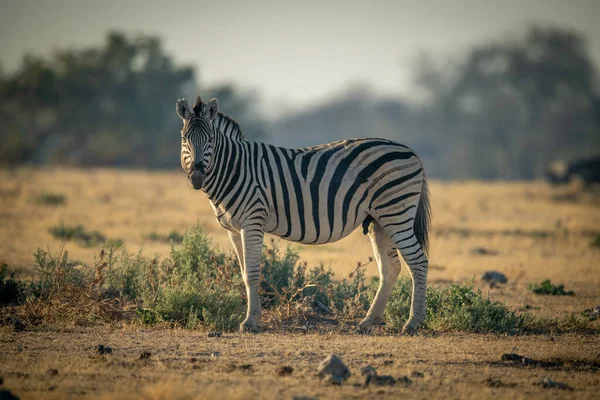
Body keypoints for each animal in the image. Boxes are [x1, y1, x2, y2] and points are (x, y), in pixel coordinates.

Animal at [175, 95, 432, 332]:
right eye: (184, 139)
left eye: (210, 139)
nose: (196, 177)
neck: (235, 168)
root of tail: (411, 151)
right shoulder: (234, 229)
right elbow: (244, 273)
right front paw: (251, 317)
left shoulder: (253, 221)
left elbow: (253, 273)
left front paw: (250, 321)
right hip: (379, 220)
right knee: (390, 268)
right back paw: (368, 321)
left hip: (396, 213)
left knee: (418, 262)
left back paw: (413, 322)